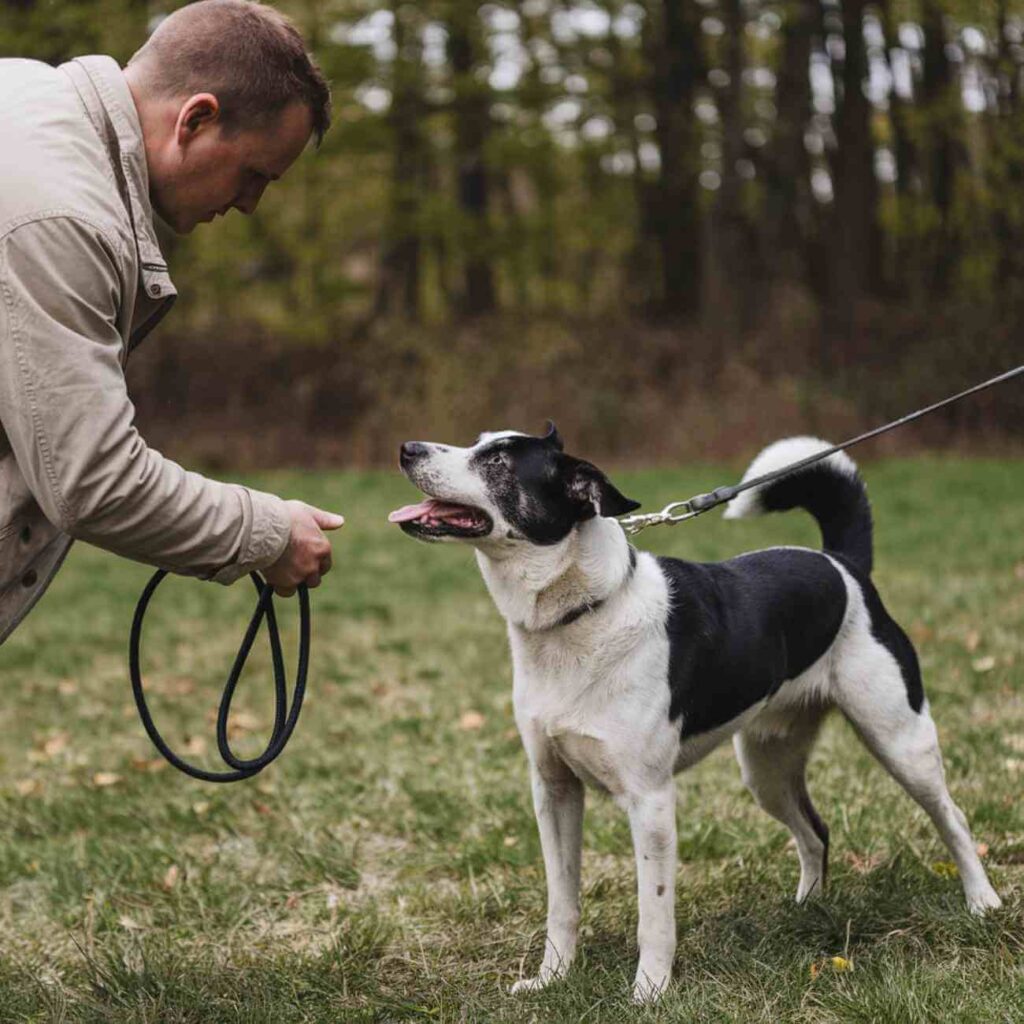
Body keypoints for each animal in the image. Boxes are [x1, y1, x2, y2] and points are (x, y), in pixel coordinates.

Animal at [389, 421, 999, 999]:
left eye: (497, 460)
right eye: (477, 441)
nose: (407, 448)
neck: (582, 614)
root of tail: (844, 565)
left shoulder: (651, 801)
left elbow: (654, 913)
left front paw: (650, 991)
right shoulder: (554, 791)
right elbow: (562, 903)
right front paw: (552, 979)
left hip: (900, 739)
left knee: (952, 817)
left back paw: (982, 902)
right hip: (766, 767)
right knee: (815, 831)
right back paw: (807, 909)